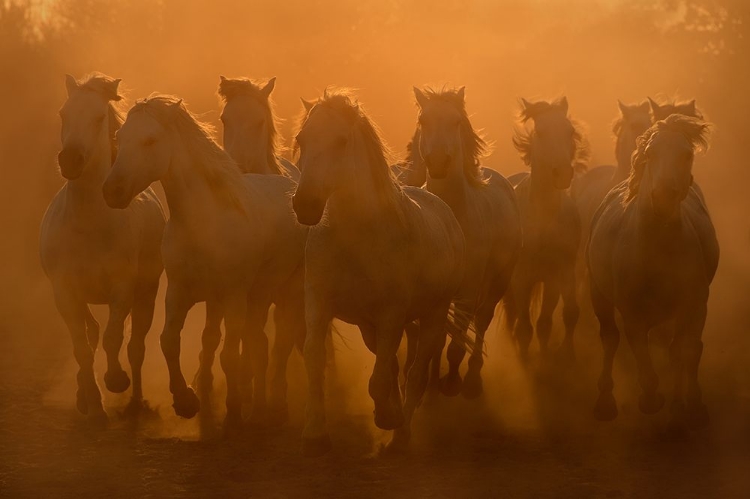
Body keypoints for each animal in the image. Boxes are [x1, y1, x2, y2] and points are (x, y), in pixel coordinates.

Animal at [39, 73, 166, 426]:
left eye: (98, 118)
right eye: (63, 114)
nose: (70, 160)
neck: (89, 226)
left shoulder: (122, 290)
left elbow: (113, 338)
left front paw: (116, 380)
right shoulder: (64, 292)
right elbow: (82, 347)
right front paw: (94, 407)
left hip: (146, 294)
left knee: (135, 347)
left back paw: (135, 402)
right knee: (92, 334)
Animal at [103, 94, 308, 430]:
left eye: (150, 140)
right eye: (120, 137)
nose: (112, 191)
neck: (203, 223)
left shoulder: (234, 296)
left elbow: (230, 354)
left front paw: (233, 412)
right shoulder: (179, 293)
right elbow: (170, 341)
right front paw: (186, 401)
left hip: (286, 292)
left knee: (279, 343)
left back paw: (276, 406)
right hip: (254, 297)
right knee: (260, 344)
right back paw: (260, 408)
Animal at [292, 90, 464, 458]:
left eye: (341, 141)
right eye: (301, 139)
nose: (305, 205)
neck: (357, 238)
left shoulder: (390, 317)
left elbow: (380, 378)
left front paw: (386, 418)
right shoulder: (319, 305)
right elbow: (315, 362)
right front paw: (315, 433)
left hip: (432, 318)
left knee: (414, 374)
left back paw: (400, 435)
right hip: (369, 329)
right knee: (395, 368)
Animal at [412, 86, 524, 398]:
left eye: (456, 122)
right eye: (423, 120)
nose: (438, 163)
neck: (453, 215)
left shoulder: (466, 292)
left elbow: (456, 344)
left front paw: (451, 383)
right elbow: (437, 340)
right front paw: (431, 382)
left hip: (497, 282)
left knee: (482, 321)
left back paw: (473, 378)